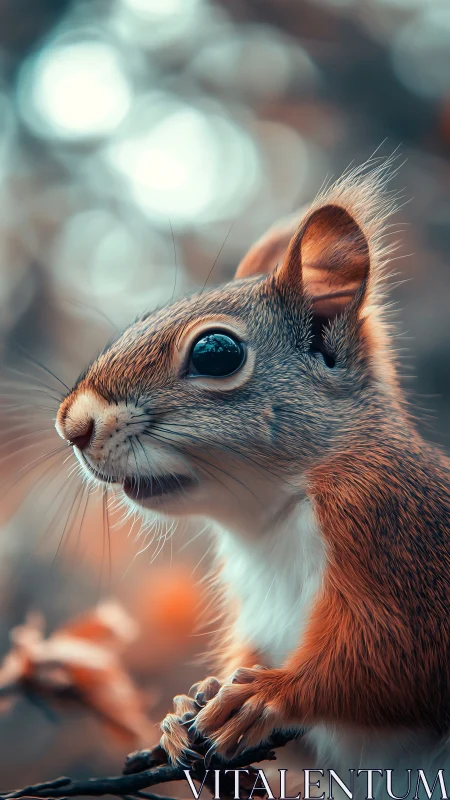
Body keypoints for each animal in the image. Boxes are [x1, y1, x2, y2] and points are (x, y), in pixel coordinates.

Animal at [56, 161, 450, 776]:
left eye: (216, 353)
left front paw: (265, 695)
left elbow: (393, 664)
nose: (72, 426)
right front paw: (185, 707)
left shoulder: (393, 535)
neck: (271, 517)